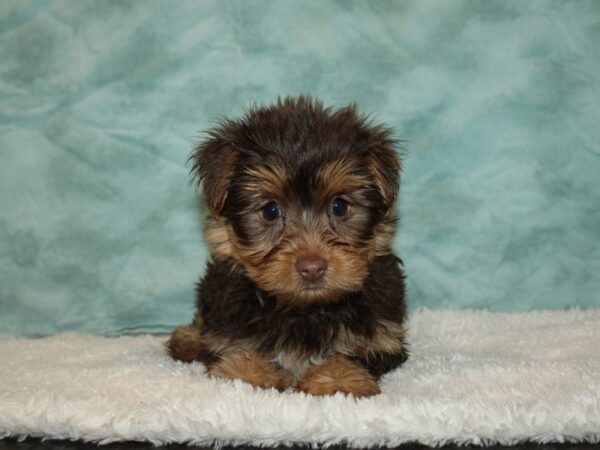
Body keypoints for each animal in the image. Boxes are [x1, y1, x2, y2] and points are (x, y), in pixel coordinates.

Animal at [166, 96, 406, 398]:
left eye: (339, 206)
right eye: (270, 210)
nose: (312, 267)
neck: (302, 310)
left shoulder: (383, 336)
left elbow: (355, 354)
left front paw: (337, 379)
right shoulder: (227, 324)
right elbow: (235, 351)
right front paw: (249, 372)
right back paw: (187, 338)